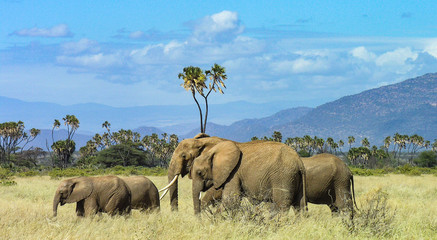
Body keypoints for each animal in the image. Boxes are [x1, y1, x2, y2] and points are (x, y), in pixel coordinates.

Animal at [158, 134, 304, 215]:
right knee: (300, 206)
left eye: (183, 156)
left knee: (282, 205)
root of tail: (299, 162)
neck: (203, 142)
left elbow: (226, 198)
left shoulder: (232, 173)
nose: (176, 215)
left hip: (283, 176)